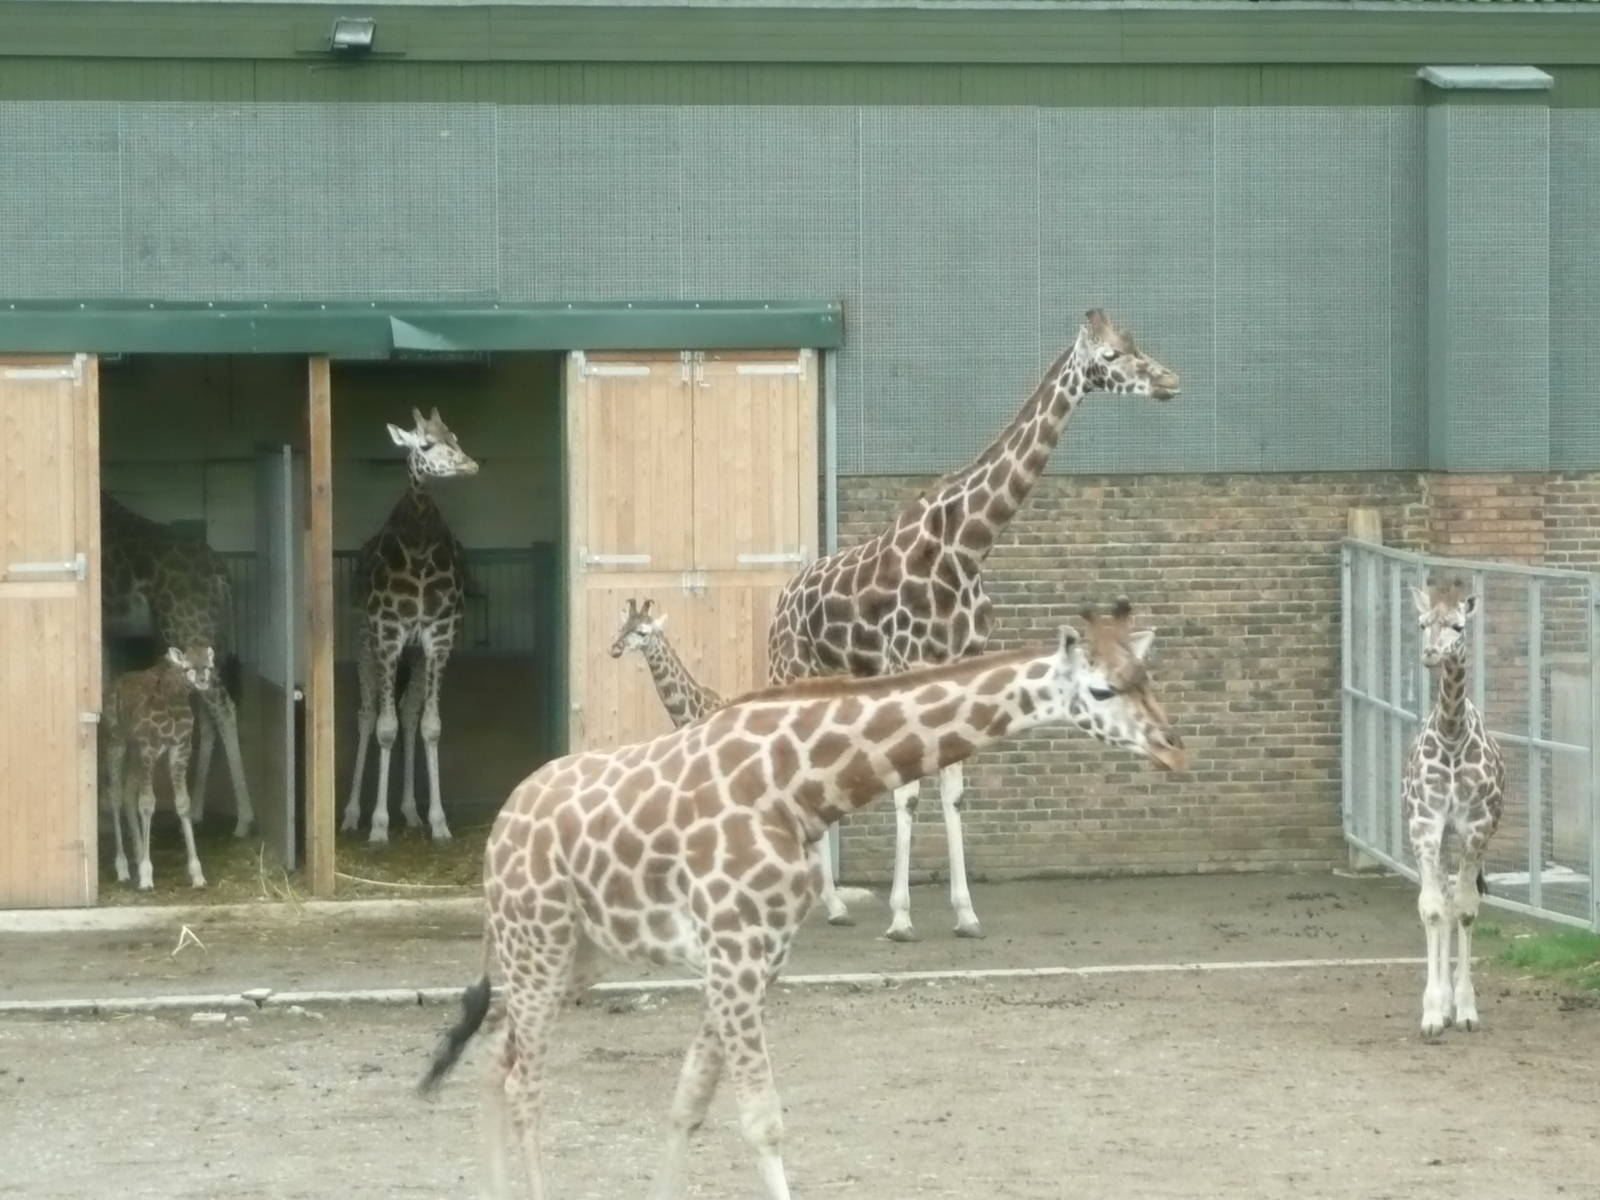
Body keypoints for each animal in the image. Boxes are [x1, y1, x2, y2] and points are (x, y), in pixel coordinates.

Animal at [100, 494, 254, 837]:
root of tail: (222, 576)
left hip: (187, 629)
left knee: (224, 707)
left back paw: (244, 819)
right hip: (203, 642)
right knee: (208, 716)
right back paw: (196, 810)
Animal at [101, 645, 217, 891]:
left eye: (208, 665)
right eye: (187, 667)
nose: (202, 681)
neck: (174, 700)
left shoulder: (180, 748)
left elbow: (183, 803)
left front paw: (197, 874)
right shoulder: (149, 748)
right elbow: (147, 804)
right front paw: (146, 877)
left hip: (134, 752)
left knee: (128, 794)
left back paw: (137, 857)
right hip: (116, 741)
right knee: (115, 795)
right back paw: (123, 868)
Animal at [343, 406, 479, 845]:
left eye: (455, 436)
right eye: (426, 444)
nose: (469, 465)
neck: (419, 548)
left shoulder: (438, 636)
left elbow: (430, 725)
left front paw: (438, 822)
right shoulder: (387, 634)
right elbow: (383, 727)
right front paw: (378, 827)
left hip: (415, 652)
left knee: (408, 710)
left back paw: (411, 812)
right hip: (362, 642)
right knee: (367, 714)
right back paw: (352, 815)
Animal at [418, 598, 1184, 1200]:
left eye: (1149, 679)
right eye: (1102, 691)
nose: (1174, 749)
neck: (797, 785)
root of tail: (501, 829)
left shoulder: (754, 960)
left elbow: (687, 1105)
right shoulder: (734, 954)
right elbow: (764, 1121)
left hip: (577, 953)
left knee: (493, 1060)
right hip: (538, 941)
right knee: (524, 1083)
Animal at [767, 308, 1180, 939]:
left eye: (1136, 343)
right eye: (1109, 355)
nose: (1169, 381)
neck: (967, 544)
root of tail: (783, 600)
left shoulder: (961, 663)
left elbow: (954, 791)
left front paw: (965, 913)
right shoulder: (910, 664)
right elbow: (908, 793)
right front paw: (901, 917)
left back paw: (832, 905)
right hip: (790, 671)